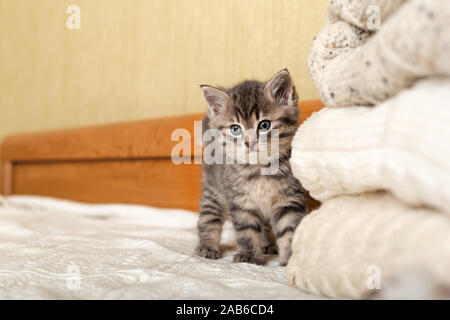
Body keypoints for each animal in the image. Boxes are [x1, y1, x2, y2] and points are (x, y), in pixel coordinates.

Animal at [196, 69, 306, 264]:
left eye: (264, 125)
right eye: (235, 129)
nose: (249, 142)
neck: (260, 170)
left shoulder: (289, 198)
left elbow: (290, 229)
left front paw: (290, 259)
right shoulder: (240, 202)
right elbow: (246, 230)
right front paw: (249, 256)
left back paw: (267, 244)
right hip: (213, 190)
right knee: (208, 218)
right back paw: (207, 246)